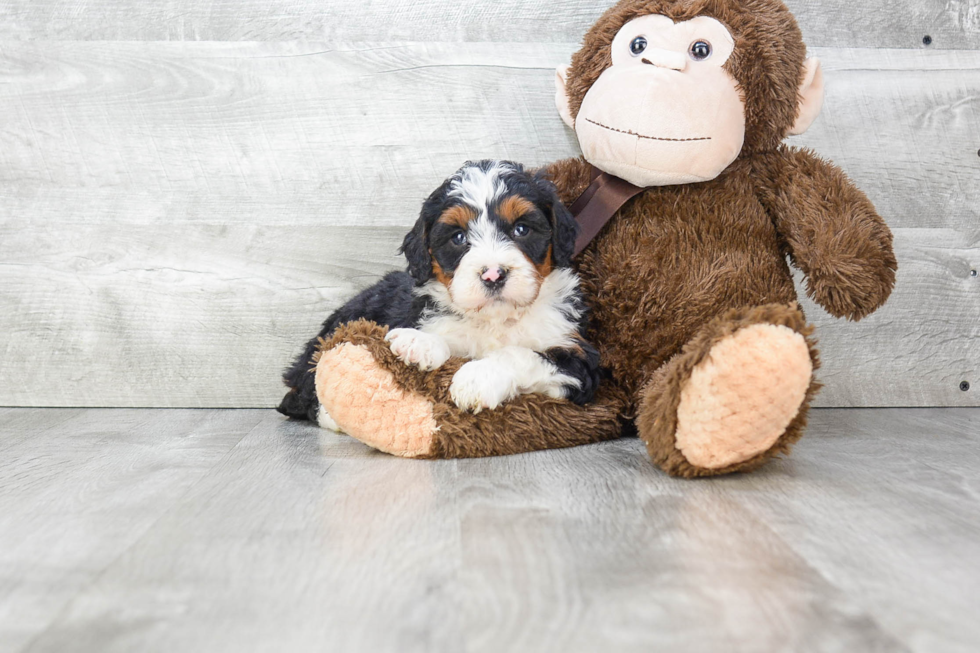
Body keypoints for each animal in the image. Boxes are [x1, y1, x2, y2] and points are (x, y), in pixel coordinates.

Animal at [272, 158, 600, 422]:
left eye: (521, 229)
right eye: (458, 237)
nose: (493, 274)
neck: (496, 319)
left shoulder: (580, 363)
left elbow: (519, 354)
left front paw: (477, 378)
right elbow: (446, 338)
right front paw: (418, 343)